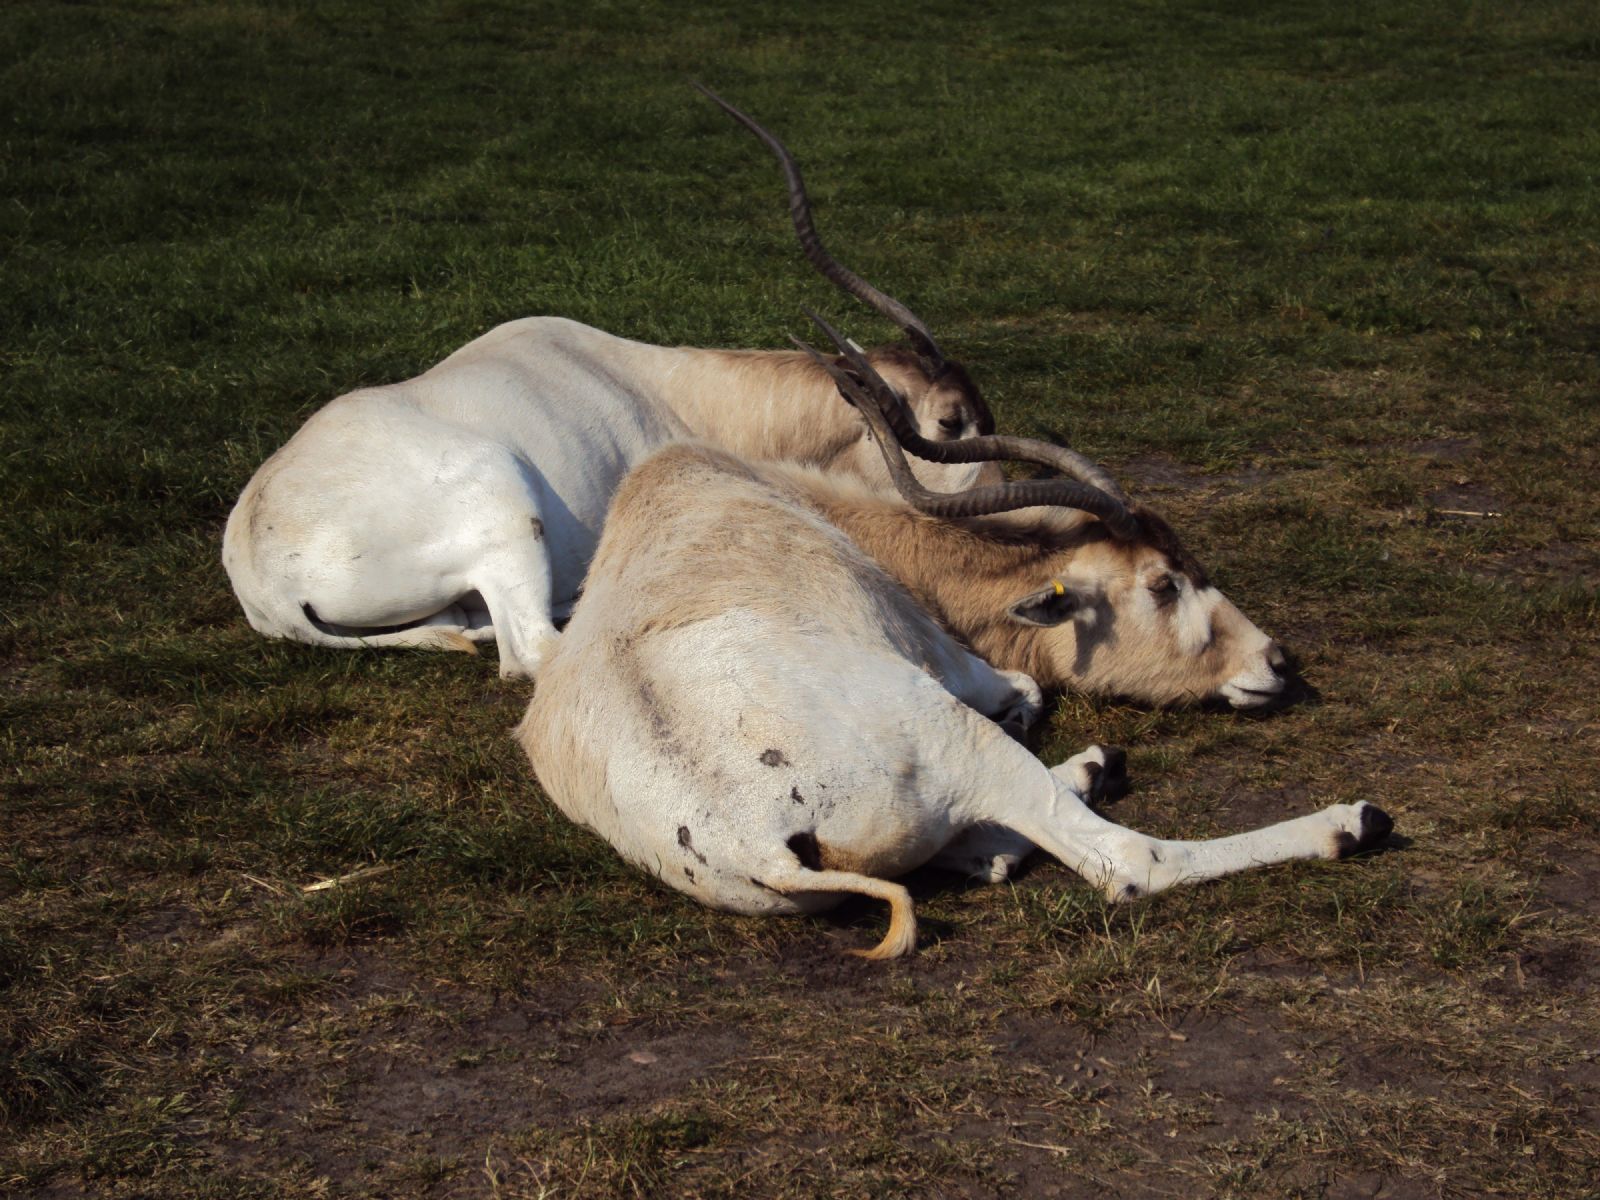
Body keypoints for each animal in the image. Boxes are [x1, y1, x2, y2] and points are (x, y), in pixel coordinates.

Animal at [518, 312, 1395, 960]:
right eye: (1162, 582)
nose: (1274, 662)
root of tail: (754, 839)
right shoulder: (960, 665)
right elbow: (1031, 689)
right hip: (962, 738)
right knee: (1129, 863)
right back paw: (1337, 822)